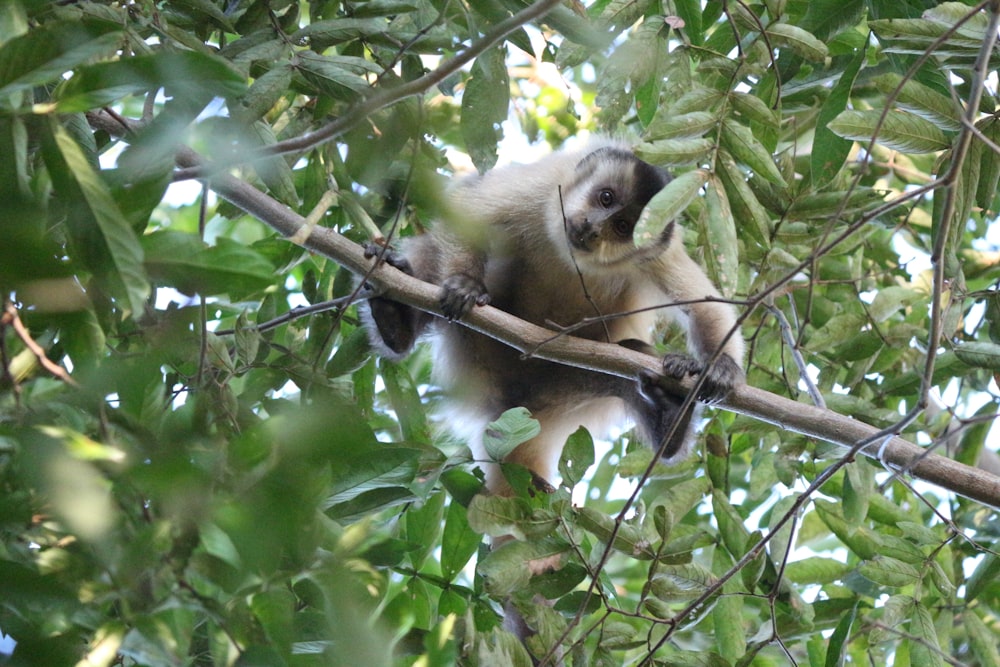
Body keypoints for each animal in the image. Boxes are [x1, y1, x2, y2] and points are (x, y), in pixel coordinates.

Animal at [360, 138, 744, 498]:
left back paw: (669, 415)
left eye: (623, 226)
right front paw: (465, 284)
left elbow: (706, 305)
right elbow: (470, 213)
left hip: (568, 389)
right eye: (606, 198)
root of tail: (518, 406)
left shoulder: (657, 250)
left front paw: (721, 367)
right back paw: (395, 320)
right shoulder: (543, 186)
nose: (593, 227)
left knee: (630, 357)